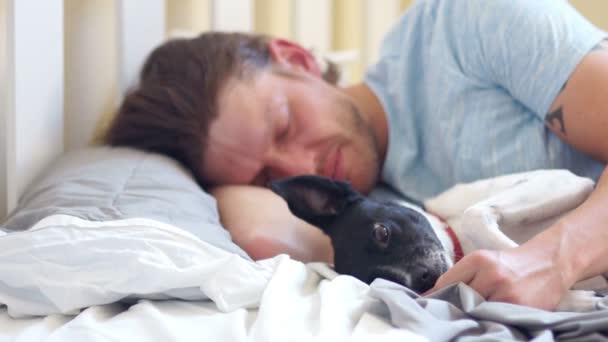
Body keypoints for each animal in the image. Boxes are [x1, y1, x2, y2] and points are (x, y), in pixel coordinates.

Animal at [272, 171, 604, 312]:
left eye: (382, 232)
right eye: (384, 280)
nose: (423, 278)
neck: (460, 244)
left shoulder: (563, 180)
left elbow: (475, 217)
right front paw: (574, 297)